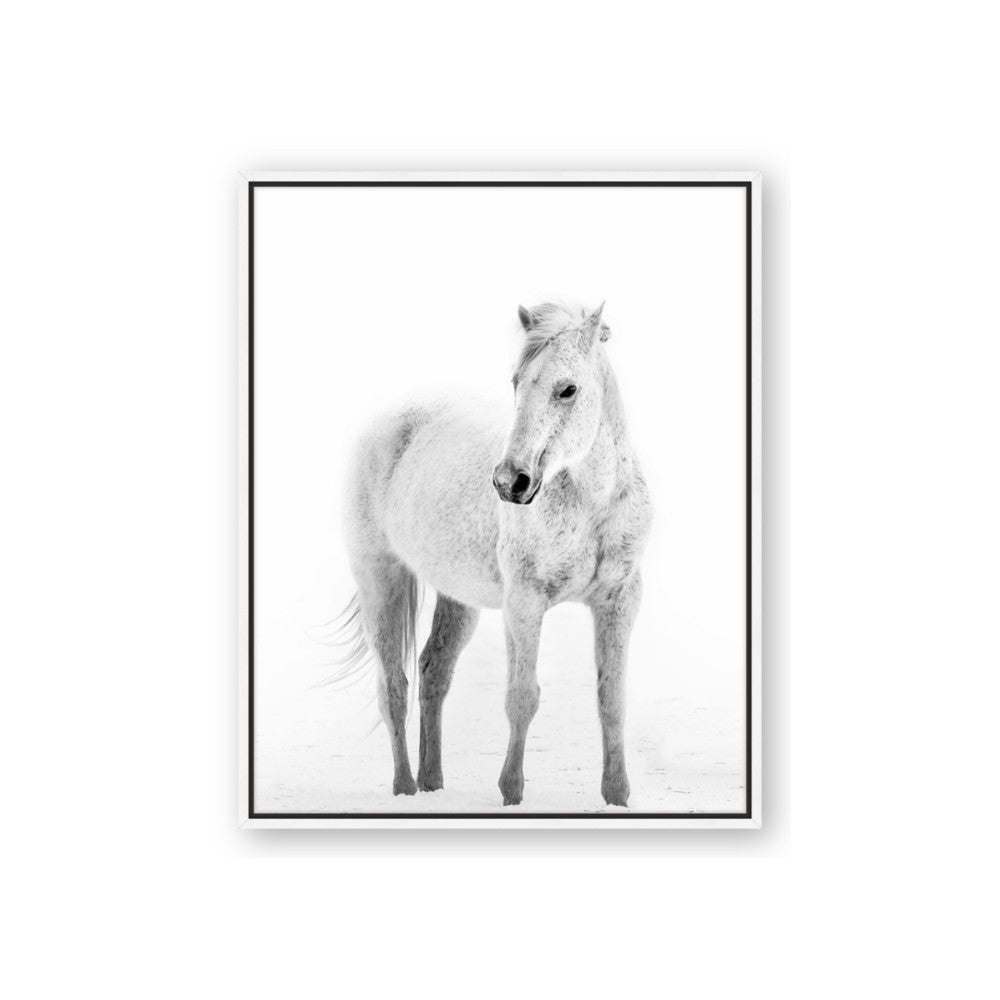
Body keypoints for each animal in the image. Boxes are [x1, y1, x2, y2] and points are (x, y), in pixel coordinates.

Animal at [339, 301, 652, 807]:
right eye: (516, 382)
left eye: (568, 389)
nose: (510, 482)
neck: (592, 504)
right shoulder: (524, 603)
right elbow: (522, 697)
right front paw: (511, 792)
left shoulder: (621, 599)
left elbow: (612, 699)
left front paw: (617, 795)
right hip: (379, 578)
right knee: (393, 687)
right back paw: (406, 788)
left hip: (456, 597)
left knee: (433, 672)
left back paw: (432, 782)